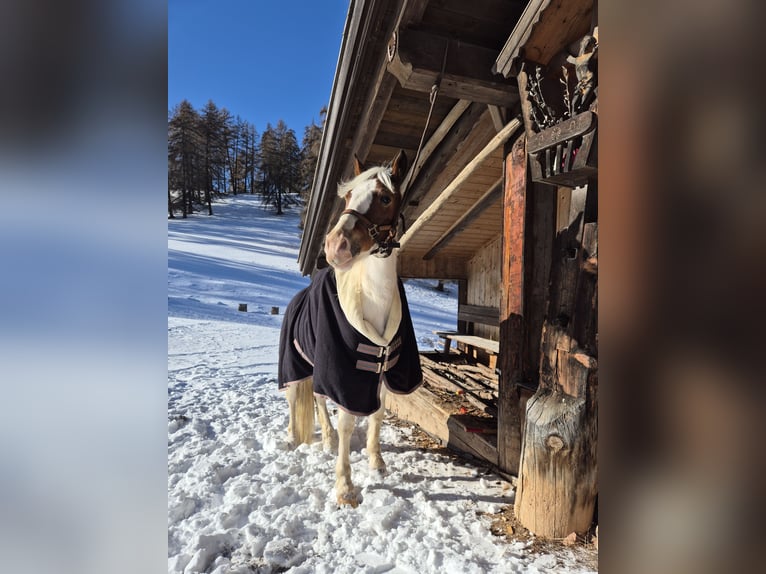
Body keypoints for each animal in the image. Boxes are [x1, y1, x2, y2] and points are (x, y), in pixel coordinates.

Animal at [278, 150, 423, 507]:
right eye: (347, 196)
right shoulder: (342, 372)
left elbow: (378, 414)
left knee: (317, 399)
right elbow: (346, 420)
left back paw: (327, 440)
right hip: (295, 364)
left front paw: (377, 461)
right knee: (296, 400)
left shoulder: (385, 371)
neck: (373, 300)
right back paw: (296, 438)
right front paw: (345, 488)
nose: (335, 247)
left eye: (385, 198)